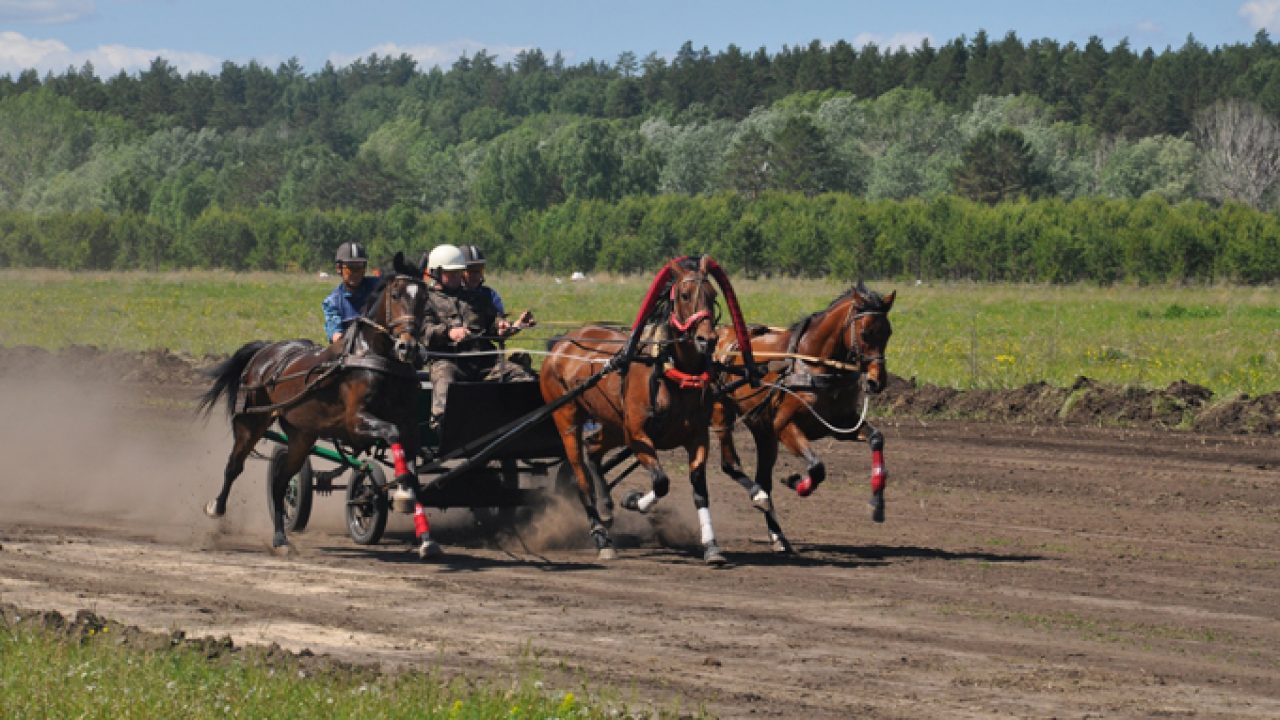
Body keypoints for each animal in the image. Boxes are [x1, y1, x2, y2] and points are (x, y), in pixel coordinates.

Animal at [197, 253, 430, 556]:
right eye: (396, 294)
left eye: (425, 297)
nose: (409, 347)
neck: (373, 357)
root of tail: (264, 351)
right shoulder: (357, 421)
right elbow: (391, 433)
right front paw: (400, 494)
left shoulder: (410, 423)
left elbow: (411, 467)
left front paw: (425, 537)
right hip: (251, 423)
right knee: (235, 466)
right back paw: (217, 507)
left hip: (301, 436)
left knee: (281, 482)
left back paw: (280, 538)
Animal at [535, 254, 752, 563]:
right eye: (685, 295)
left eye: (712, 296)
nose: (707, 340)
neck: (672, 374)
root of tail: (561, 342)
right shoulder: (638, 435)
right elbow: (661, 482)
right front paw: (634, 500)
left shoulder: (697, 436)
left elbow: (699, 488)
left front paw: (712, 546)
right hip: (567, 418)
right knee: (581, 474)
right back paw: (601, 536)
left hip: (613, 423)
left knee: (593, 450)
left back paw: (606, 506)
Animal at [716, 280, 896, 548]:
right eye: (865, 333)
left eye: (888, 332)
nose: (877, 381)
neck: (814, 364)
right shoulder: (784, 425)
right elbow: (817, 467)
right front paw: (796, 483)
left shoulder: (841, 424)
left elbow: (876, 438)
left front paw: (877, 503)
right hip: (722, 411)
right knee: (730, 463)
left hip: (762, 430)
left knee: (764, 478)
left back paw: (777, 534)